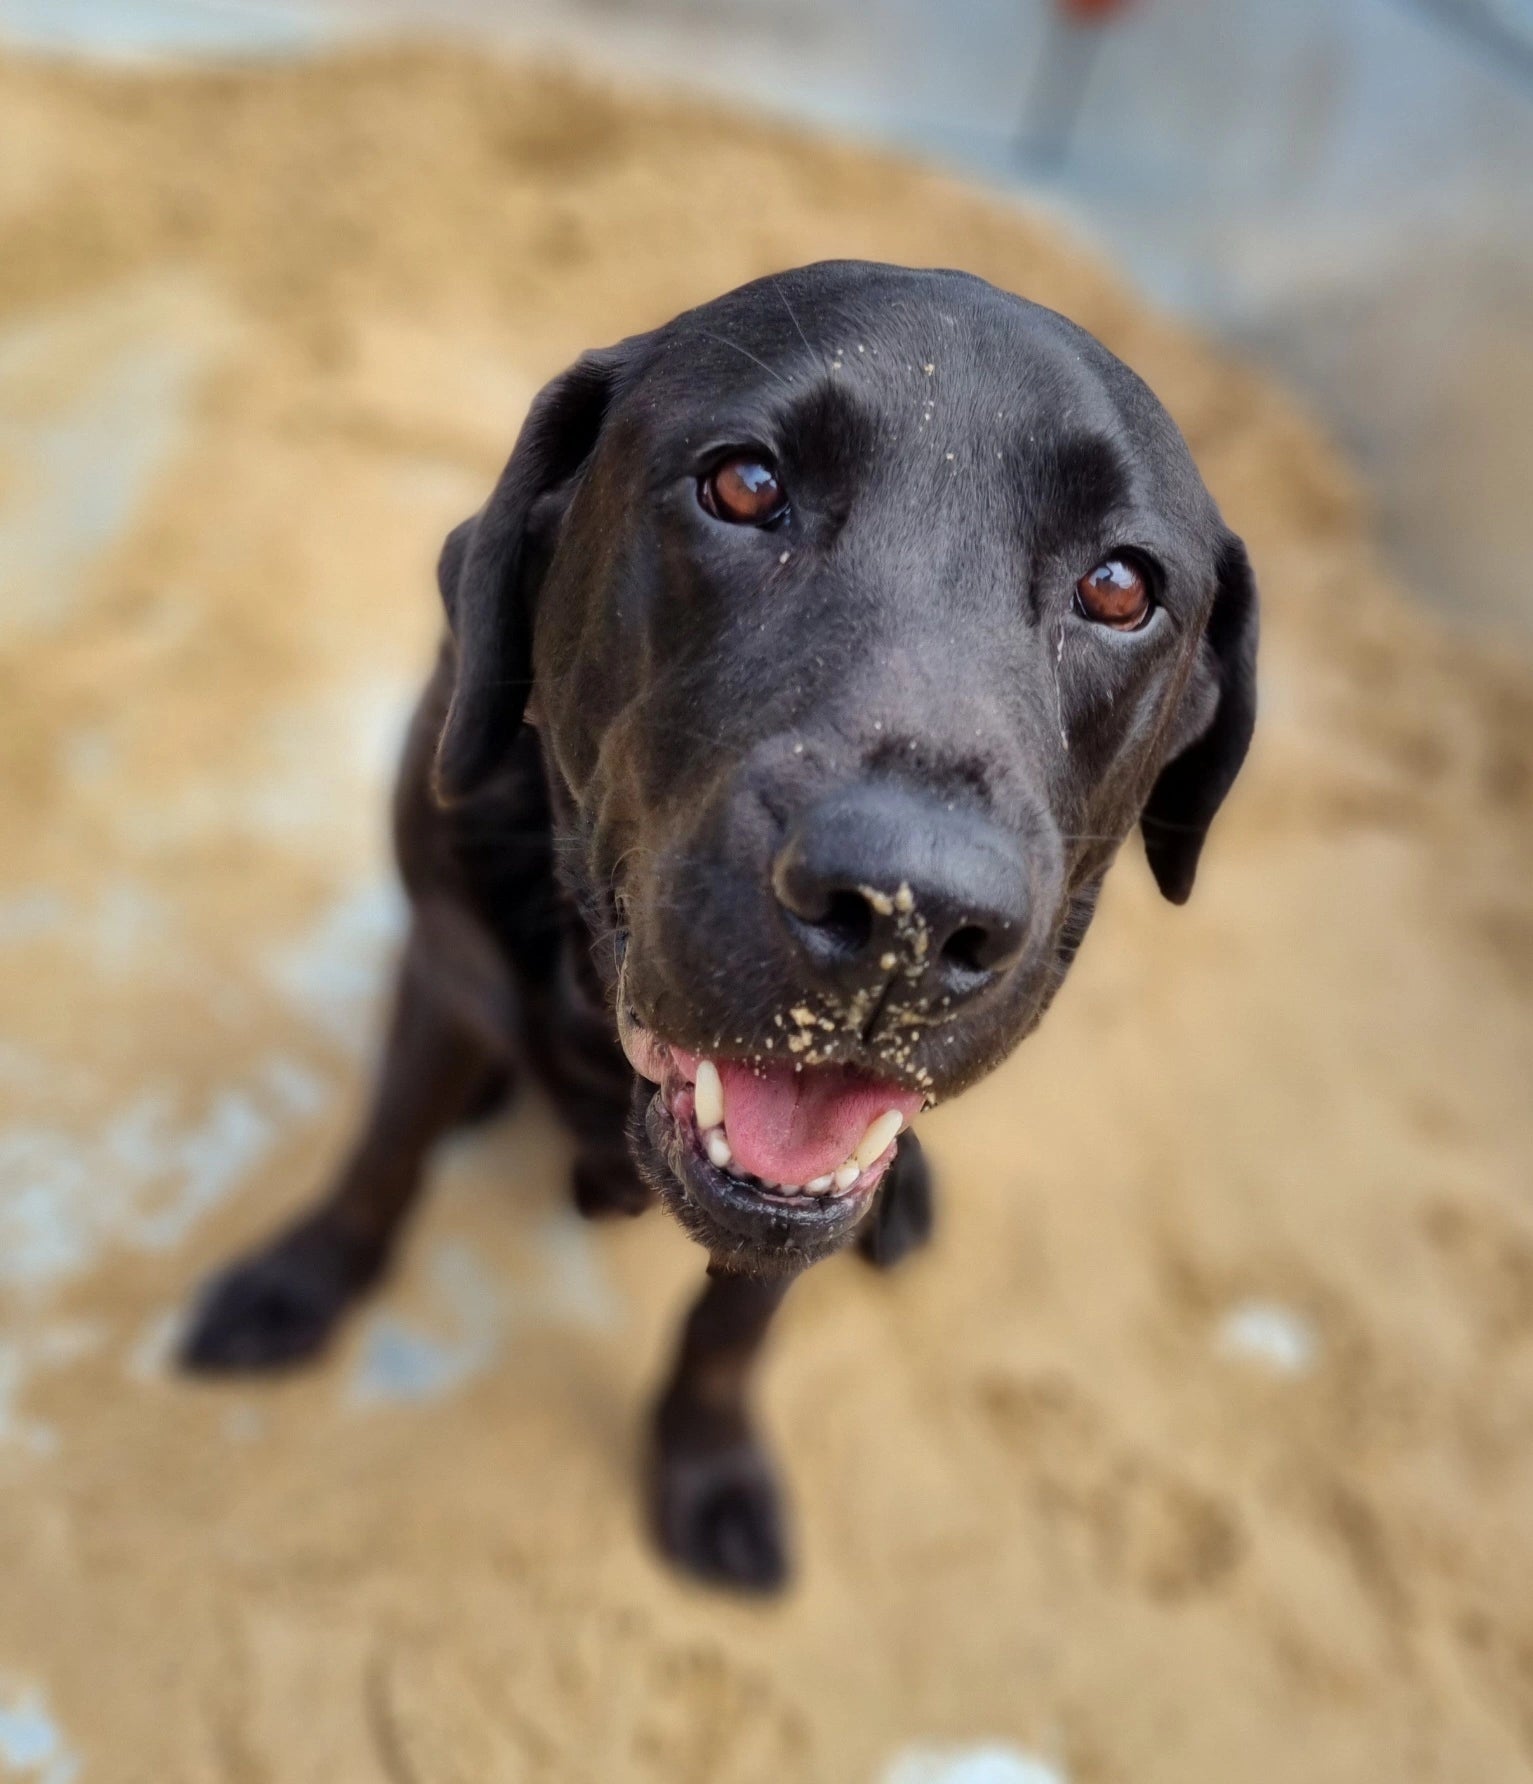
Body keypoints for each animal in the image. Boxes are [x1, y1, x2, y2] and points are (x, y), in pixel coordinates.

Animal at [182, 260, 1256, 1591]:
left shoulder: (790, 1208)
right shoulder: (449, 965)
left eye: (1120, 587)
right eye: (744, 485)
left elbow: (730, 1323)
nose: (909, 914)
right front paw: (299, 1282)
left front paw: (711, 1468)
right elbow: (381, 1154)